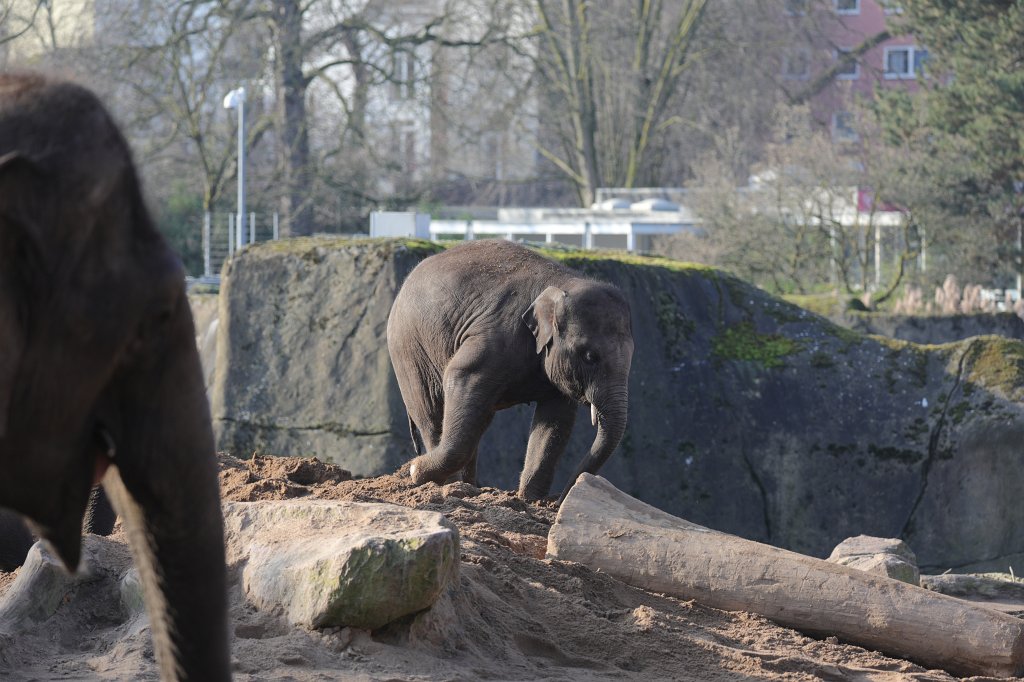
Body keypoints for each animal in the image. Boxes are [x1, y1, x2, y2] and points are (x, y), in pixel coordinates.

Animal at [387, 239, 634, 502]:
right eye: (589, 357)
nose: (559, 499)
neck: (564, 283)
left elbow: (555, 419)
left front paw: (529, 500)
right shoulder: (498, 336)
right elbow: (461, 374)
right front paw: (415, 470)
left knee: (476, 419)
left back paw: (466, 486)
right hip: (409, 351)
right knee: (433, 414)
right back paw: (448, 485)